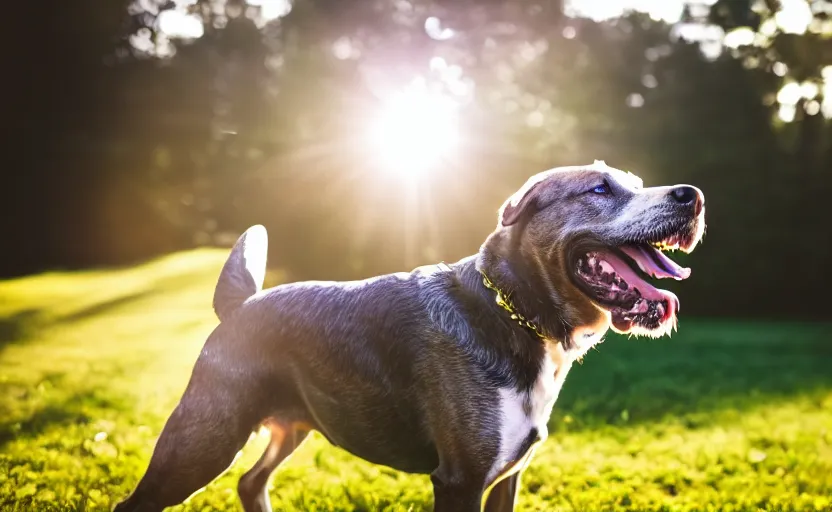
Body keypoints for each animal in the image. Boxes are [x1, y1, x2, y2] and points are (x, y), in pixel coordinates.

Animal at [114, 161, 704, 512]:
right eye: (600, 189)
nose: (692, 196)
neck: (513, 313)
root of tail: (239, 307)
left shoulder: (506, 476)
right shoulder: (461, 478)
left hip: (292, 426)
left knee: (250, 482)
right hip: (205, 438)